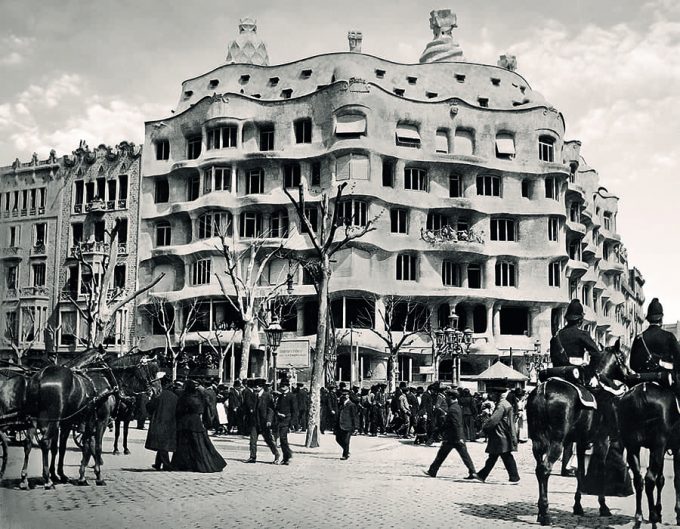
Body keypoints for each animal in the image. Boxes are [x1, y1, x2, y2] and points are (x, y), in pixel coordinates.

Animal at [24, 350, 160, 486]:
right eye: (152, 369)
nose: (158, 390)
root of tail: (40, 376)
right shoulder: (101, 420)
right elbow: (97, 446)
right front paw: (98, 475)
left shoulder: (84, 422)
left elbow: (83, 446)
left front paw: (80, 475)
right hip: (53, 419)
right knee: (45, 442)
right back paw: (47, 479)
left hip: (34, 419)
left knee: (29, 443)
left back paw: (26, 478)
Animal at [524, 340, 632, 524]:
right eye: (623, 357)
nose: (630, 374)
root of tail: (542, 390)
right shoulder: (602, 441)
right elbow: (600, 470)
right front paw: (603, 507)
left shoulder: (582, 442)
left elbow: (581, 471)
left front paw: (578, 506)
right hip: (557, 442)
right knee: (545, 469)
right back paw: (545, 514)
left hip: (537, 442)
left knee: (539, 469)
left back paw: (540, 511)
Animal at [616, 374, 680, 524]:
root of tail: (642, 392)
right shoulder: (672, 448)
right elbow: (676, 480)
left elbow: (661, 479)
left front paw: (659, 510)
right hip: (657, 446)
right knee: (649, 479)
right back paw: (652, 515)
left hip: (633, 447)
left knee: (639, 479)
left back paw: (639, 514)